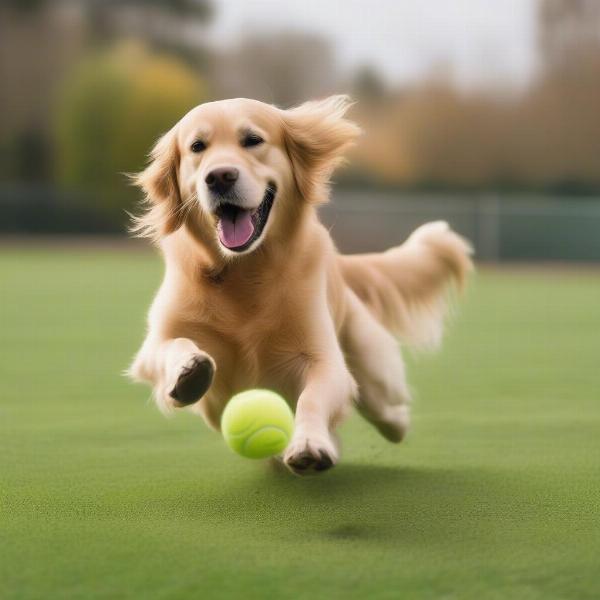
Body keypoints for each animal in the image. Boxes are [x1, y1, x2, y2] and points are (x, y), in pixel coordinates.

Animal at [127, 96, 474, 476]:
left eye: (252, 140)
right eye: (197, 147)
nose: (219, 176)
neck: (244, 272)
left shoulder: (324, 359)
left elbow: (312, 398)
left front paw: (309, 443)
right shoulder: (155, 345)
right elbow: (173, 346)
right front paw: (189, 373)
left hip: (371, 364)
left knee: (385, 411)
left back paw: (388, 423)